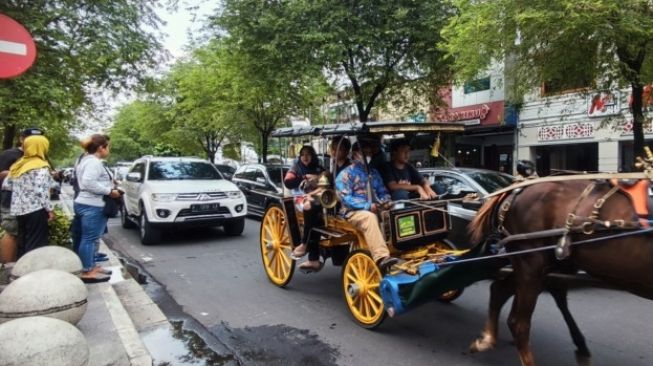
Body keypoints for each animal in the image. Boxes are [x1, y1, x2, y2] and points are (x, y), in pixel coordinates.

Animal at [466, 179, 652, 366]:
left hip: (544, 265)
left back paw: (487, 339)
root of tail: (516, 190)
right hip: (530, 264)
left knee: (500, 291)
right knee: (520, 324)